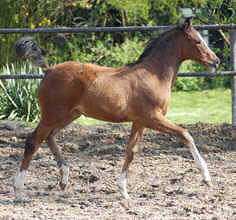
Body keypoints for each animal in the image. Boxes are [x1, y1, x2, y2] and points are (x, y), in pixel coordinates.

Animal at [13, 18, 219, 200]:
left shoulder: (140, 121)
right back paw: (19, 189)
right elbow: (185, 134)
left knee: (49, 137)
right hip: (52, 115)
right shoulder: (152, 117)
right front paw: (206, 178)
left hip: (69, 115)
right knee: (33, 141)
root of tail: (48, 70)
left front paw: (123, 191)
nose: (215, 61)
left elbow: (131, 151)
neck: (153, 76)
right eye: (197, 41)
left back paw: (64, 179)